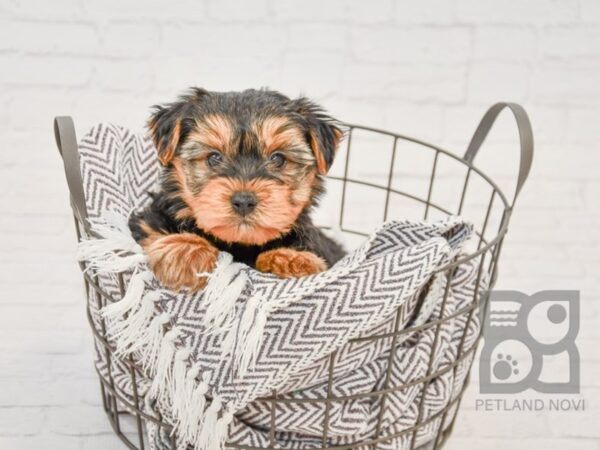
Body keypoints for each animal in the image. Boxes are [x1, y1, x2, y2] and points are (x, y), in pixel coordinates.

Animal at [131, 87, 346, 292]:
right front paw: (186, 252)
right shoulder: (147, 222)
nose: (244, 201)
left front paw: (291, 259)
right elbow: (153, 230)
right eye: (214, 157)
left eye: (278, 159)